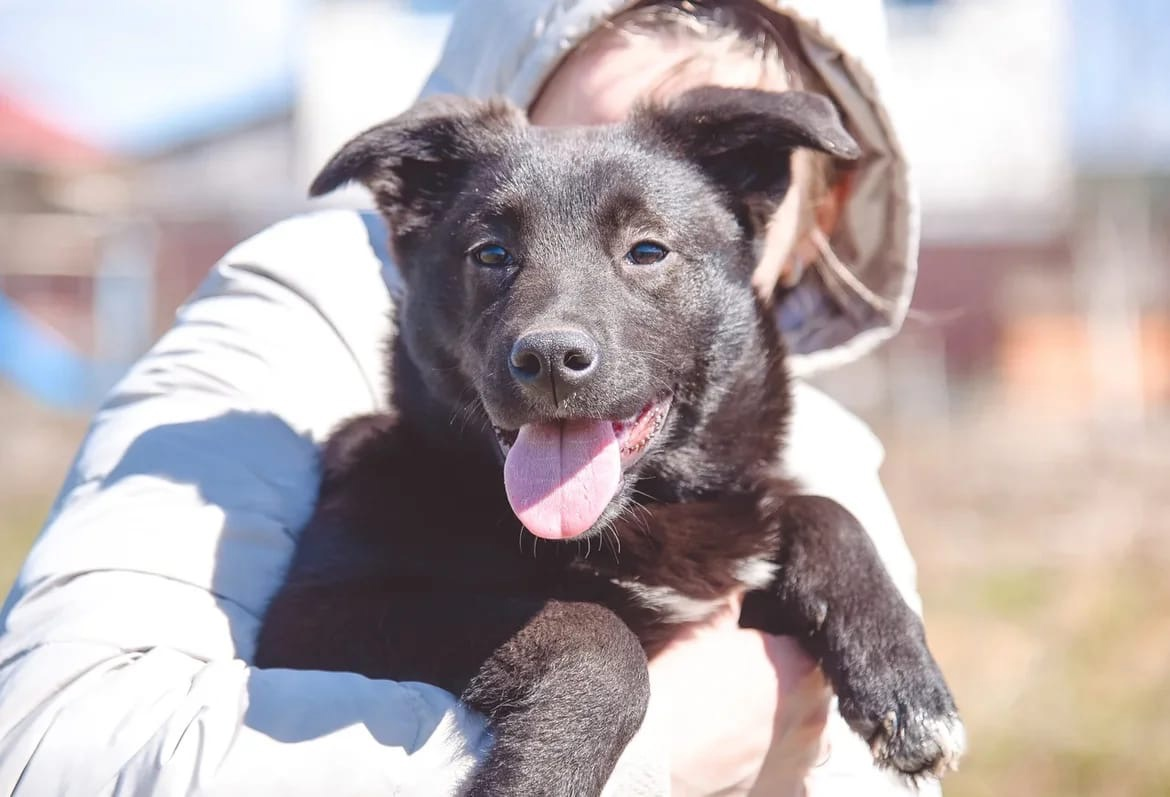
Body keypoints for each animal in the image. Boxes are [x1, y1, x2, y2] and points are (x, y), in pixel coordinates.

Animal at [260, 87, 964, 795]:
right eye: (490, 254)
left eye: (647, 251)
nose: (549, 358)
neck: (630, 518)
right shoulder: (314, 618)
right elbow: (598, 634)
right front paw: (541, 774)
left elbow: (819, 508)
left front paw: (903, 679)